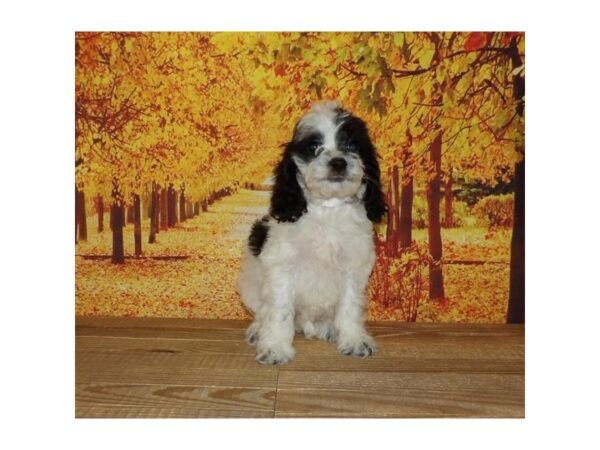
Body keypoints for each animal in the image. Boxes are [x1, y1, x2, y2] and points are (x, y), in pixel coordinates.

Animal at [237, 100, 386, 364]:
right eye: (314, 146)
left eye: (352, 145)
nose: (338, 162)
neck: (327, 208)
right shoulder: (282, 267)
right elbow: (280, 311)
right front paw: (275, 347)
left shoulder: (354, 267)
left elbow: (350, 306)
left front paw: (354, 340)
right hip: (250, 285)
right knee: (262, 311)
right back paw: (258, 330)